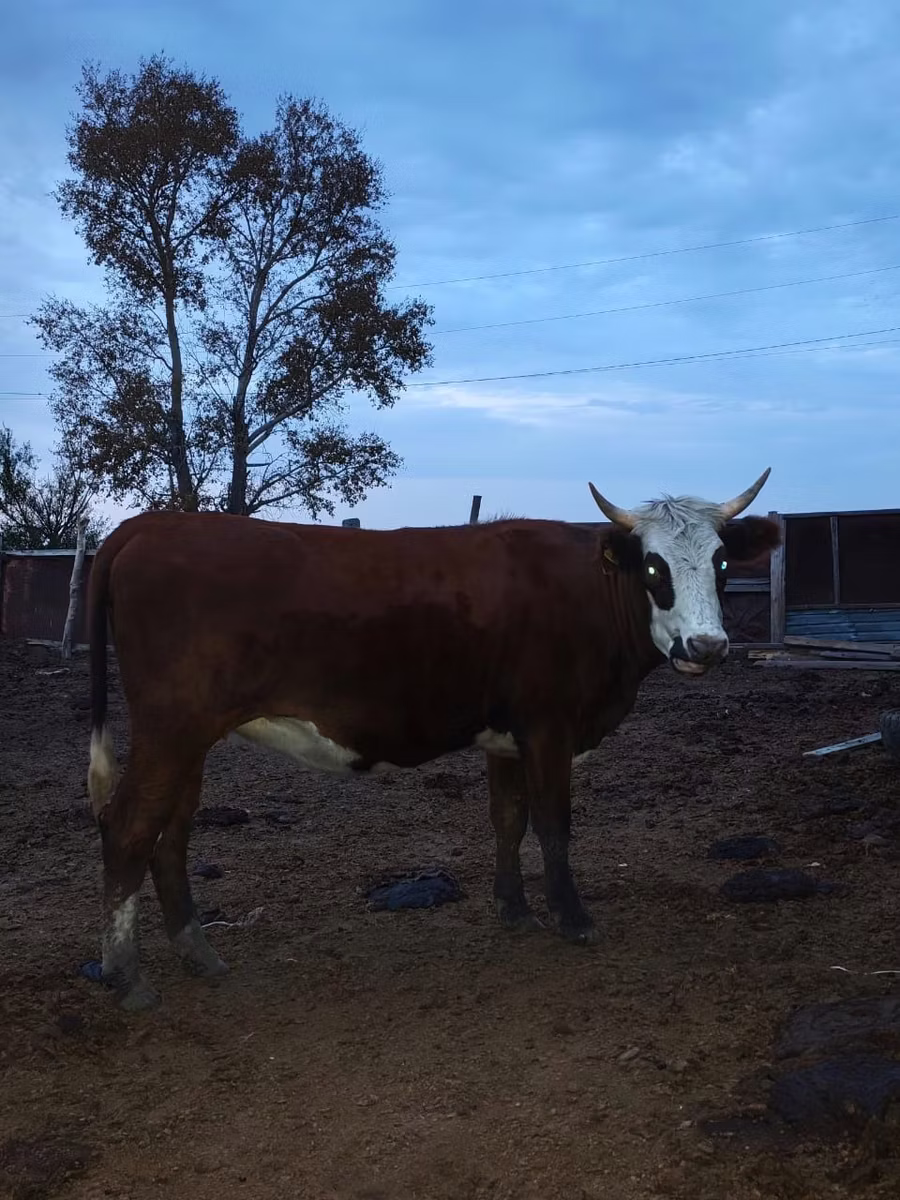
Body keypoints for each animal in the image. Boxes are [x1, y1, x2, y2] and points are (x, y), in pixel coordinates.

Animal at [85, 469, 780, 1010]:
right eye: (655, 567)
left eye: (720, 563)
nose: (707, 647)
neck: (584, 592)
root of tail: (147, 526)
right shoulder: (549, 726)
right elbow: (553, 824)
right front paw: (573, 919)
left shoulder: (507, 736)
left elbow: (508, 820)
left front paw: (514, 910)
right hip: (171, 729)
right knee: (129, 827)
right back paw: (126, 975)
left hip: (191, 736)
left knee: (171, 834)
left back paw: (197, 952)